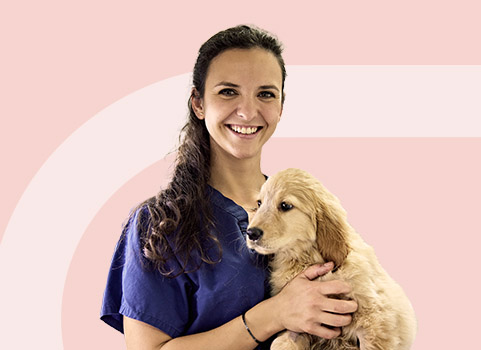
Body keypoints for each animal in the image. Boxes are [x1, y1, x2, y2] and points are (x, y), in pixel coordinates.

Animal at [246, 168, 414, 348]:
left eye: (285, 205)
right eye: (259, 204)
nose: (251, 233)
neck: (307, 259)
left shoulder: (374, 321)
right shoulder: (297, 325)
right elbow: (281, 343)